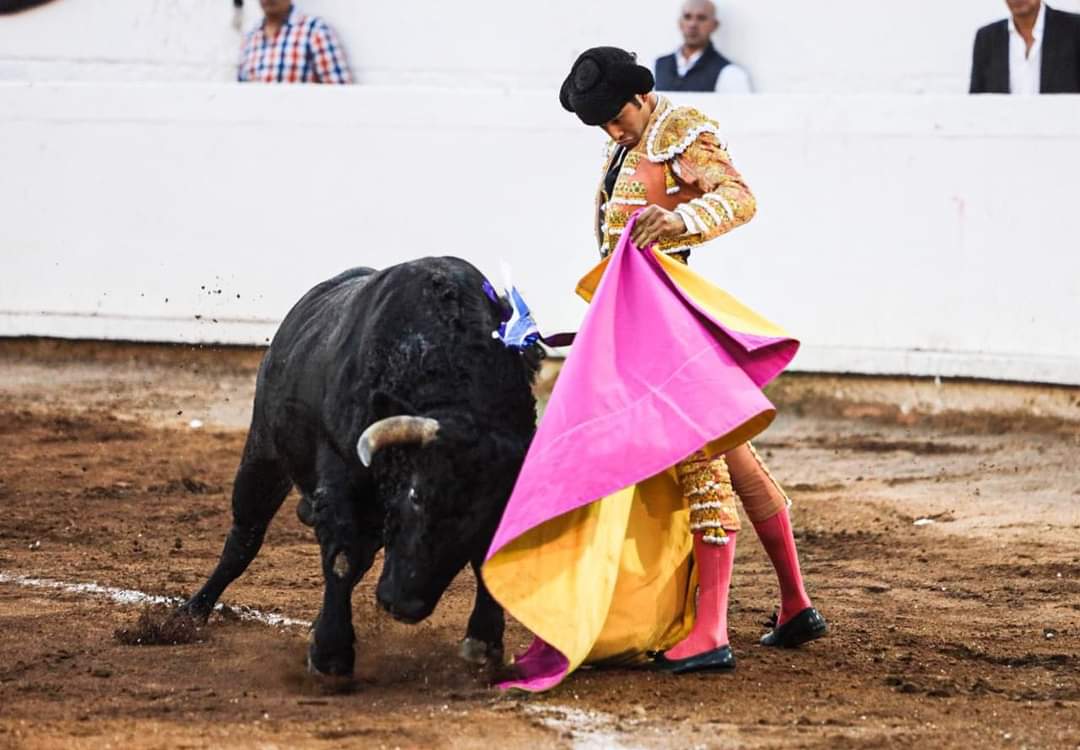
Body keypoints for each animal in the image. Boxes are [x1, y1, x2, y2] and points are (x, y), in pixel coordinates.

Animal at [185, 258, 544, 674]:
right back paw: (192, 611)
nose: (404, 605)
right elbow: (343, 556)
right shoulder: (340, 480)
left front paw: (483, 640)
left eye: (488, 514)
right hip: (263, 455)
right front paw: (330, 652)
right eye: (416, 495)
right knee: (245, 537)